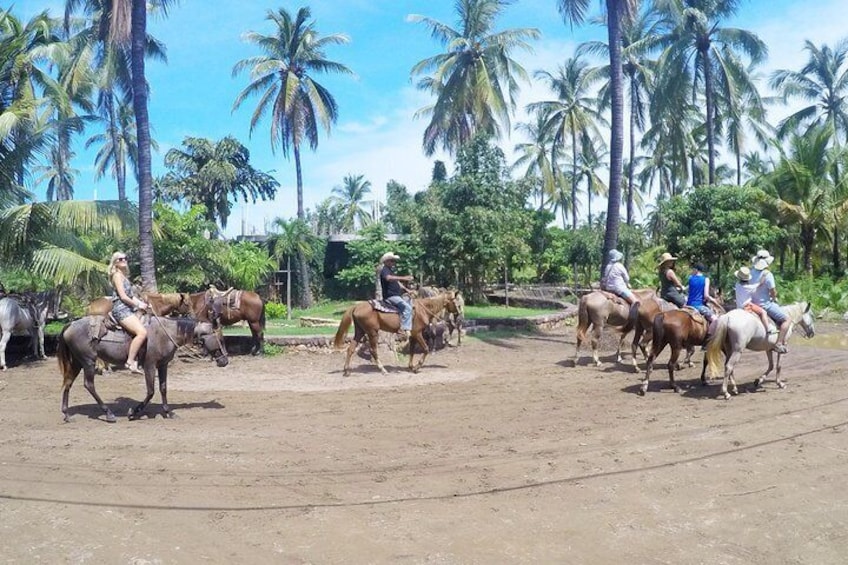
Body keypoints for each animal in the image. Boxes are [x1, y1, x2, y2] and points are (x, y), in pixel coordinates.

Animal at [56, 316, 230, 420]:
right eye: (220, 339)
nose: (225, 361)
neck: (165, 333)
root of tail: (71, 324)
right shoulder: (149, 365)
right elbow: (151, 391)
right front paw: (134, 412)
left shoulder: (163, 365)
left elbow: (163, 388)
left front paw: (168, 412)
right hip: (88, 362)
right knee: (89, 385)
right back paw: (109, 413)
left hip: (77, 362)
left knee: (68, 382)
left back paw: (66, 413)